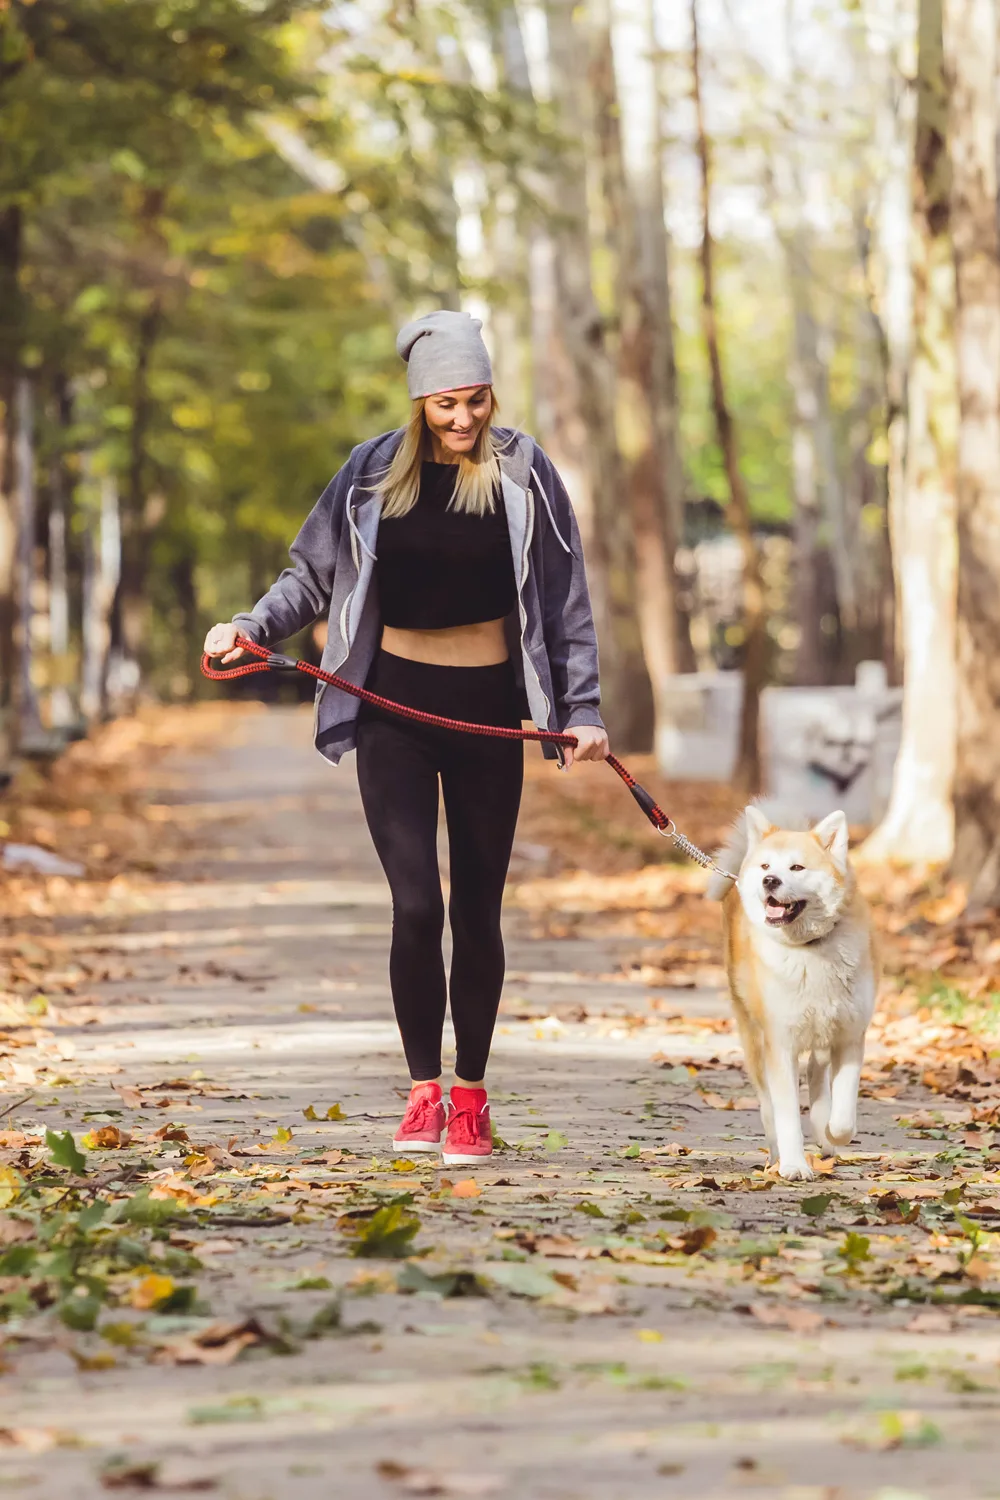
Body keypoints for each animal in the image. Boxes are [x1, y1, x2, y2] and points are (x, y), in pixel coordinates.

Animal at [707, 810, 881, 1182]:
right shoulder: (780, 1045)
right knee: (768, 1107)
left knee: (817, 1075)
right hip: (755, 1042)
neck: (808, 950)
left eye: (797, 868)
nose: (769, 880)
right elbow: (786, 1113)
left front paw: (830, 1134)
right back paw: (776, 1155)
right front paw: (793, 1165)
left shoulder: (850, 1037)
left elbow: (842, 1118)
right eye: (766, 866)